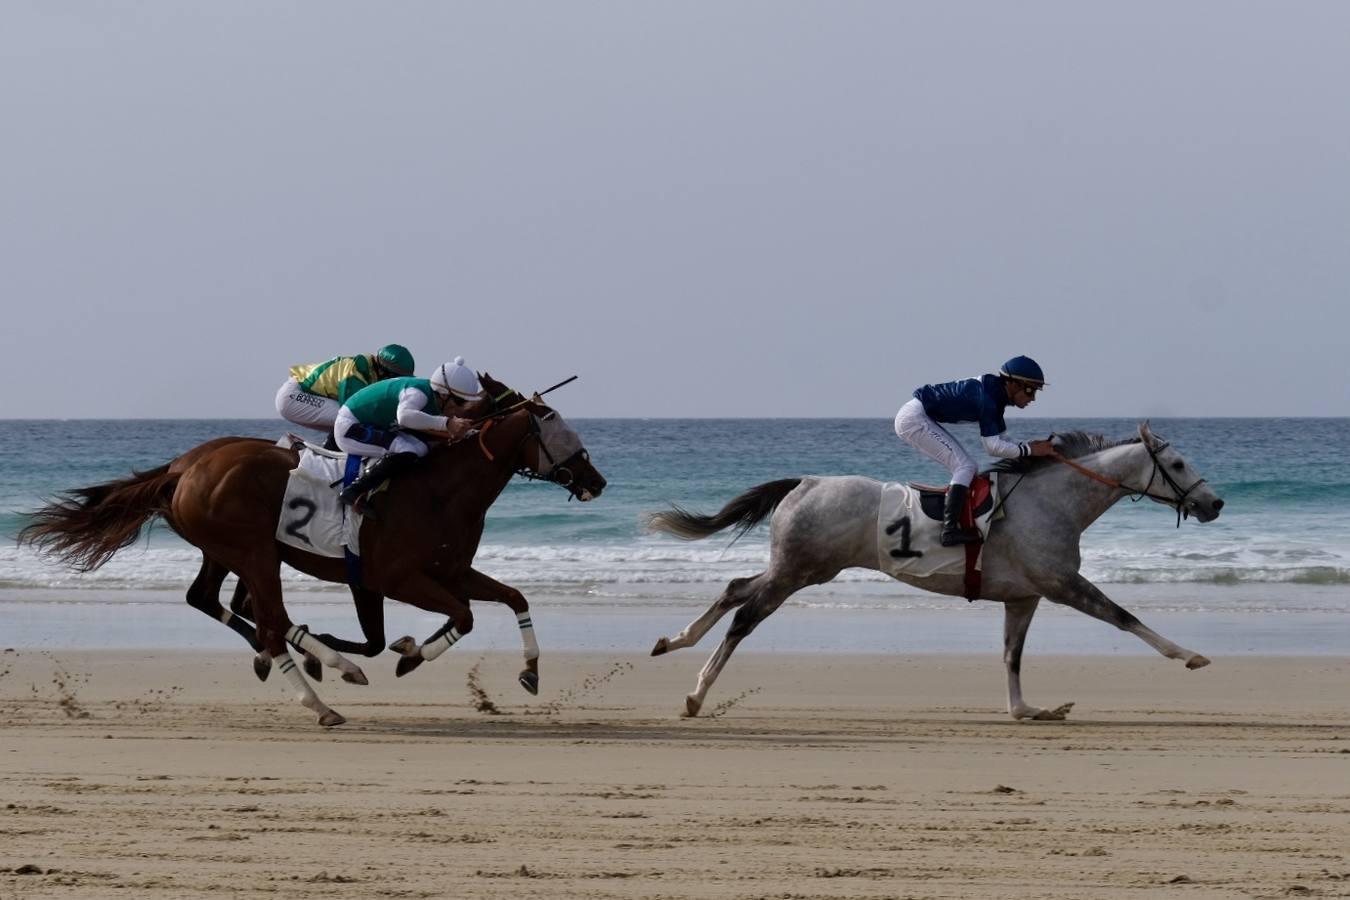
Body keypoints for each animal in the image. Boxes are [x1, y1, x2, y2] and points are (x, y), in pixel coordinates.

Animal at [17, 377, 602, 728]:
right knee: (270, 621)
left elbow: (513, 597)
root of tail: (184, 466)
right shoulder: (396, 577)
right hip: (255, 553)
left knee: (212, 601)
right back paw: (320, 699)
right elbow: (460, 618)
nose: (595, 479)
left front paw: (530, 671)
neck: (440, 486)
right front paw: (410, 656)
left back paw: (317, 666)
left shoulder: (442, 571)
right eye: (553, 426)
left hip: (226, 551)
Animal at [642, 426, 1225, 723]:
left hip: (795, 567)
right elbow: (1124, 617)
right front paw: (1189, 654)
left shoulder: (1024, 596)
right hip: (799, 571)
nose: (1214, 503)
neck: (1051, 501)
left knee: (734, 589)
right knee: (745, 616)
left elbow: (1011, 655)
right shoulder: (1063, 585)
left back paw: (673, 641)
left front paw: (1027, 709)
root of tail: (804, 482)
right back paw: (696, 695)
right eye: (1177, 465)